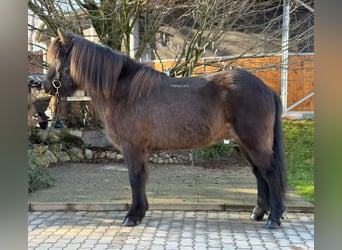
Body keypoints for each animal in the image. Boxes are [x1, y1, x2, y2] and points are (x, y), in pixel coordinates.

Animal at [43, 28, 288, 229]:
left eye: (58, 58)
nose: (44, 86)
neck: (123, 92)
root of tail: (266, 88)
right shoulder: (140, 150)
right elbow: (141, 178)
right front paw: (140, 212)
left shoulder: (132, 147)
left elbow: (135, 178)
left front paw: (132, 216)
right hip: (244, 144)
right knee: (259, 174)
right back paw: (258, 213)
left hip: (255, 143)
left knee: (269, 172)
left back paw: (273, 219)